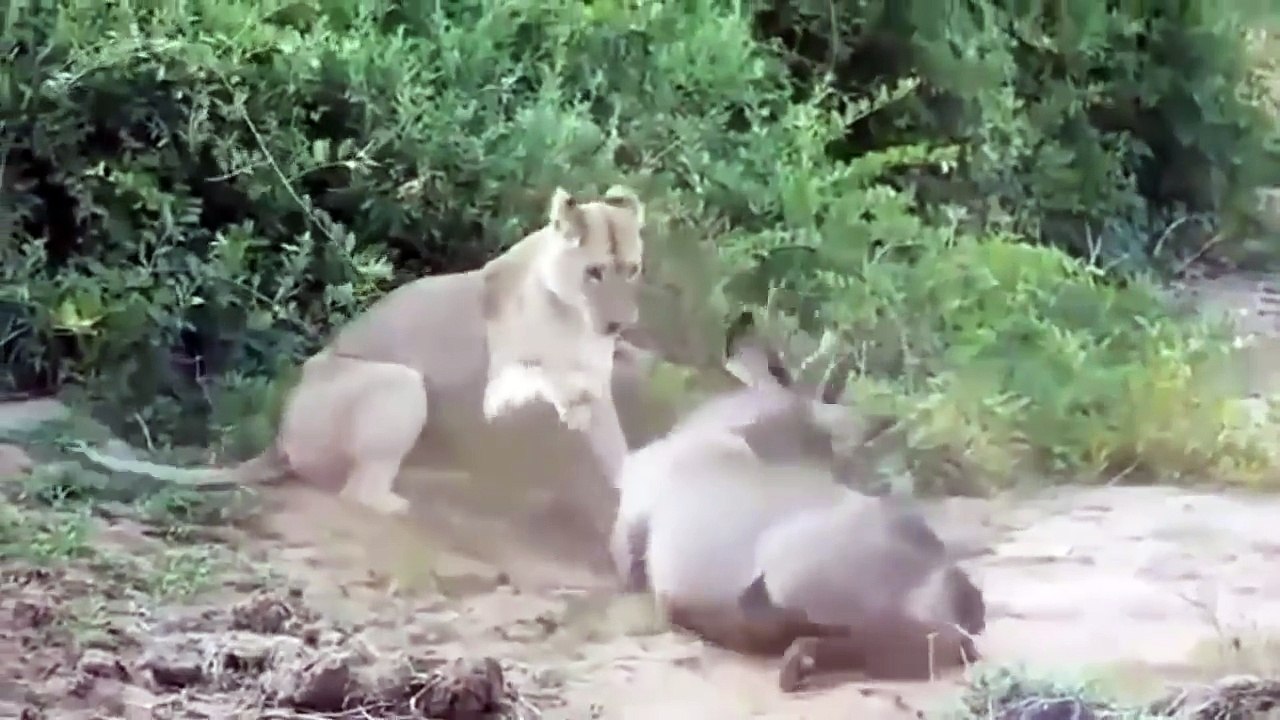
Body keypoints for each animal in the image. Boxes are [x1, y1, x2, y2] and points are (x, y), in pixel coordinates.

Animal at [208, 185, 646, 516]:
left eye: (633, 270)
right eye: (594, 272)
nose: (621, 324)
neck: (577, 320)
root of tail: (277, 441)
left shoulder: (601, 388)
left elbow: (617, 450)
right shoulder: (496, 393)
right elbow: (543, 373)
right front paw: (573, 401)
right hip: (401, 382)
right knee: (358, 493)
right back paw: (406, 504)